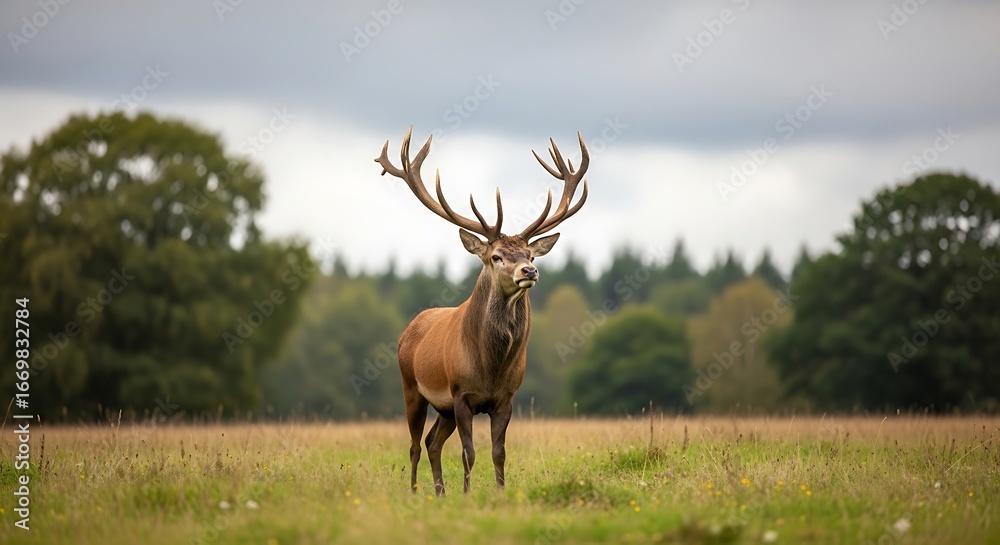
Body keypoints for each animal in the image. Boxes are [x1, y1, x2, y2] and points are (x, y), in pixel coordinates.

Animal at [375, 126, 590, 495]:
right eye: (496, 256)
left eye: (530, 255)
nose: (529, 271)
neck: (491, 367)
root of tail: (409, 329)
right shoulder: (461, 395)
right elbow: (468, 453)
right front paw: (467, 494)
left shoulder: (505, 399)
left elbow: (498, 453)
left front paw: (498, 492)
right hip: (411, 387)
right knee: (416, 444)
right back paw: (416, 491)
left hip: (443, 408)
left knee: (432, 442)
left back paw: (439, 492)